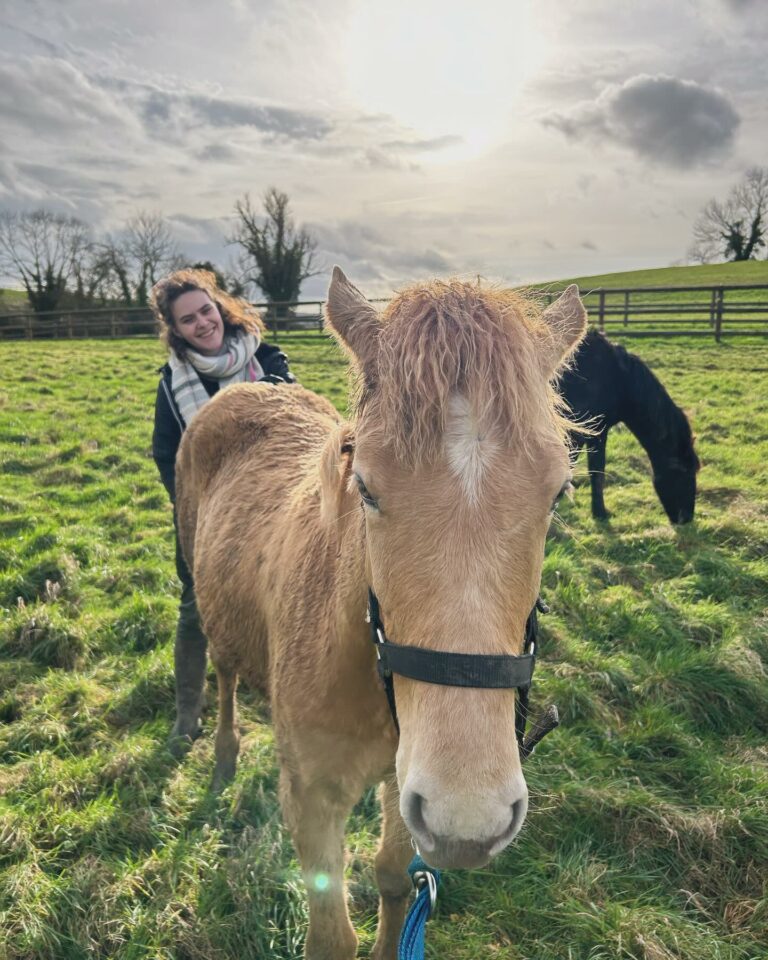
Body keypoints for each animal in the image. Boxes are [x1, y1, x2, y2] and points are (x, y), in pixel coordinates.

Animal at [176, 266, 588, 956]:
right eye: (364, 487)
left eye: (559, 493)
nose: (468, 814)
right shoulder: (311, 799)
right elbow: (331, 935)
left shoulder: (404, 785)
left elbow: (395, 880)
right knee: (225, 672)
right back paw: (225, 754)